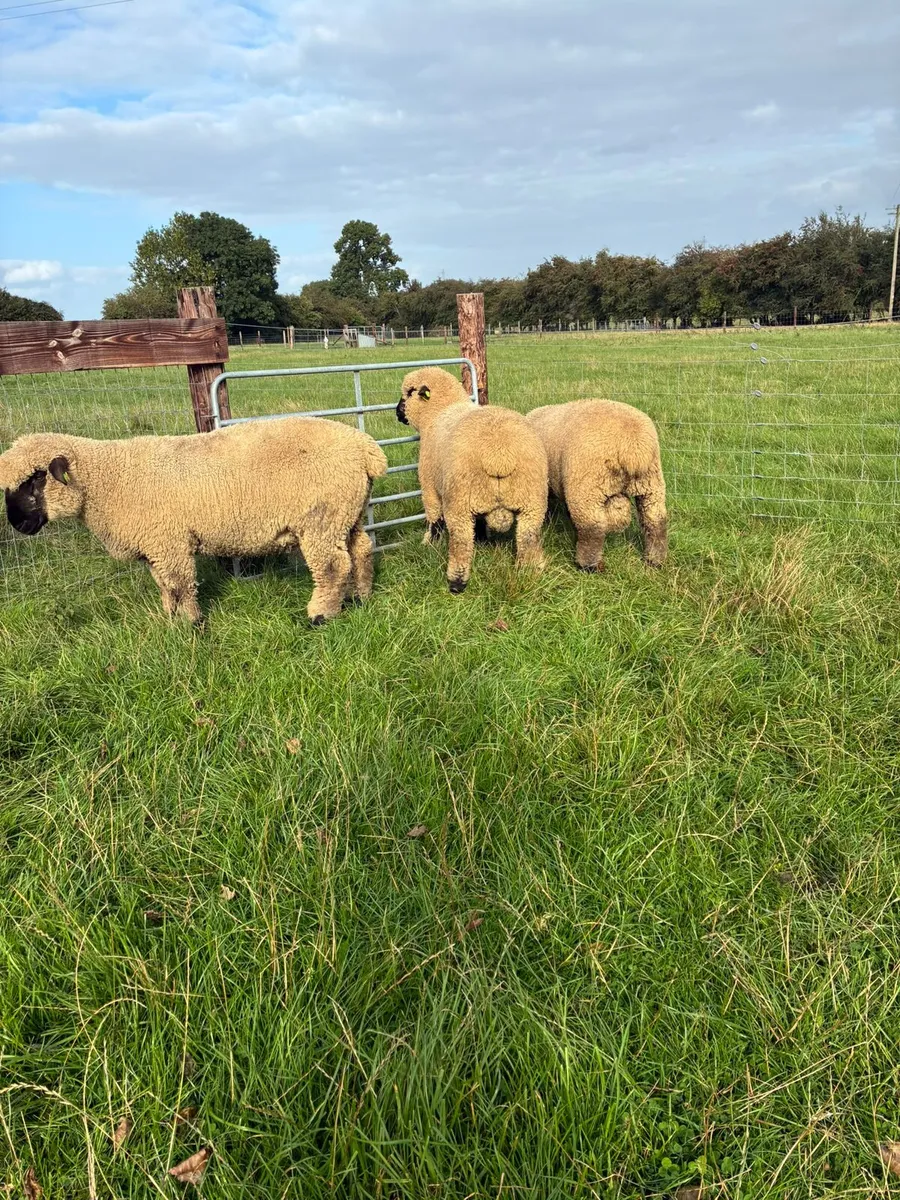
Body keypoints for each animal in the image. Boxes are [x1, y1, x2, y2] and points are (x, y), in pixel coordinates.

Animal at [0, 417, 388, 625]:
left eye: (35, 478)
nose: (18, 525)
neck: (107, 480)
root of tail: (365, 449)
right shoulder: (156, 545)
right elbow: (163, 585)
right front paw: (169, 619)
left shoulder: (169, 543)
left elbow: (178, 584)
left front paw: (191, 624)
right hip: (347, 513)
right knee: (361, 550)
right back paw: (361, 597)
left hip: (321, 519)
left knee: (333, 566)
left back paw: (320, 615)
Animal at [396, 366, 548, 592]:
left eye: (408, 393)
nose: (397, 412)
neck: (440, 410)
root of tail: (499, 454)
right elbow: (481, 521)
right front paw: (483, 541)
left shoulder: (429, 486)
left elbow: (434, 520)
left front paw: (430, 543)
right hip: (532, 502)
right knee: (528, 538)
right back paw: (530, 572)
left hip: (459, 500)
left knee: (461, 543)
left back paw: (456, 583)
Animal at [525, 398, 668, 571]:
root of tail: (634, 446)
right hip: (651, 484)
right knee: (655, 521)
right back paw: (655, 560)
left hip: (587, 487)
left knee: (592, 527)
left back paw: (589, 565)